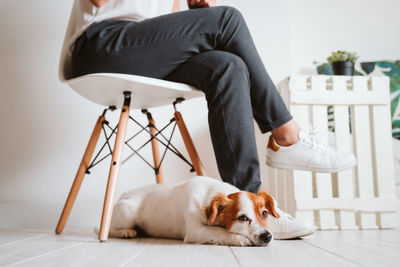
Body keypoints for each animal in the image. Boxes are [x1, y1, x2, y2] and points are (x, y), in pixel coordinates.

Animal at [108, 176, 280, 247]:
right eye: (243, 218)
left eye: (264, 213)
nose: (267, 236)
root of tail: (124, 194)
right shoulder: (194, 230)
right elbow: (218, 232)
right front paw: (239, 238)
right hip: (127, 211)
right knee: (109, 229)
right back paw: (126, 232)